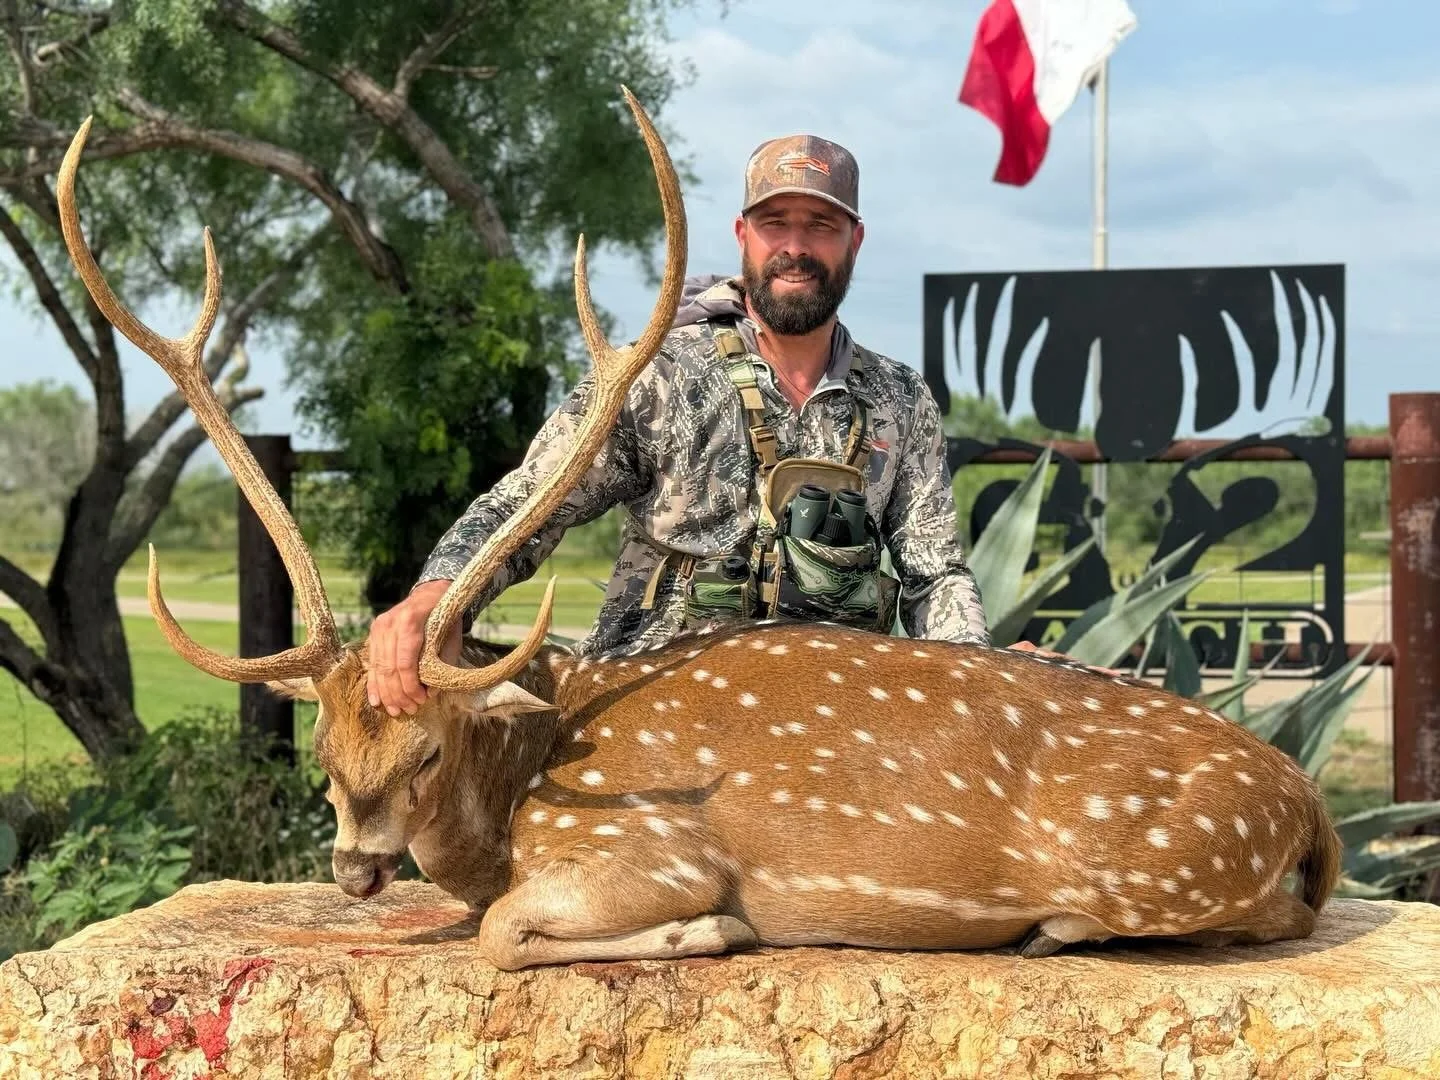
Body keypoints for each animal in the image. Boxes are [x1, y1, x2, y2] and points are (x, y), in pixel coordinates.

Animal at [53, 89, 1342, 973]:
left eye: (423, 752)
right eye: (323, 755)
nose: (358, 870)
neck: (523, 783)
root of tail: (1313, 802)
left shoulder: (646, 848)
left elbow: (506, 929)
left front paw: (710, 932)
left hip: (1165, 858)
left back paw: (1049, 927)